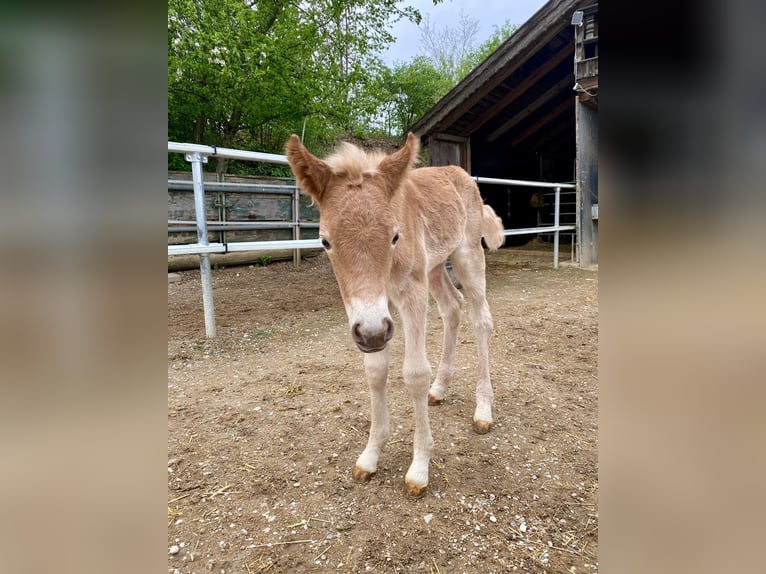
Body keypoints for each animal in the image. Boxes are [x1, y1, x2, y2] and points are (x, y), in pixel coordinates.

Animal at [284, 133, 508, 498]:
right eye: (325, 242)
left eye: (394, 235)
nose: (372, 334)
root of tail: (459, 174)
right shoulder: (375, 312)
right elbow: (376, 371)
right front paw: (370, 456)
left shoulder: (410, 293)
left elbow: (414, 373)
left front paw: (419, 468)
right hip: (434, 268)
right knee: (452, 306)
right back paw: (440, 389)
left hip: (467, 256)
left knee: (481, 319)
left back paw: (483, 410)